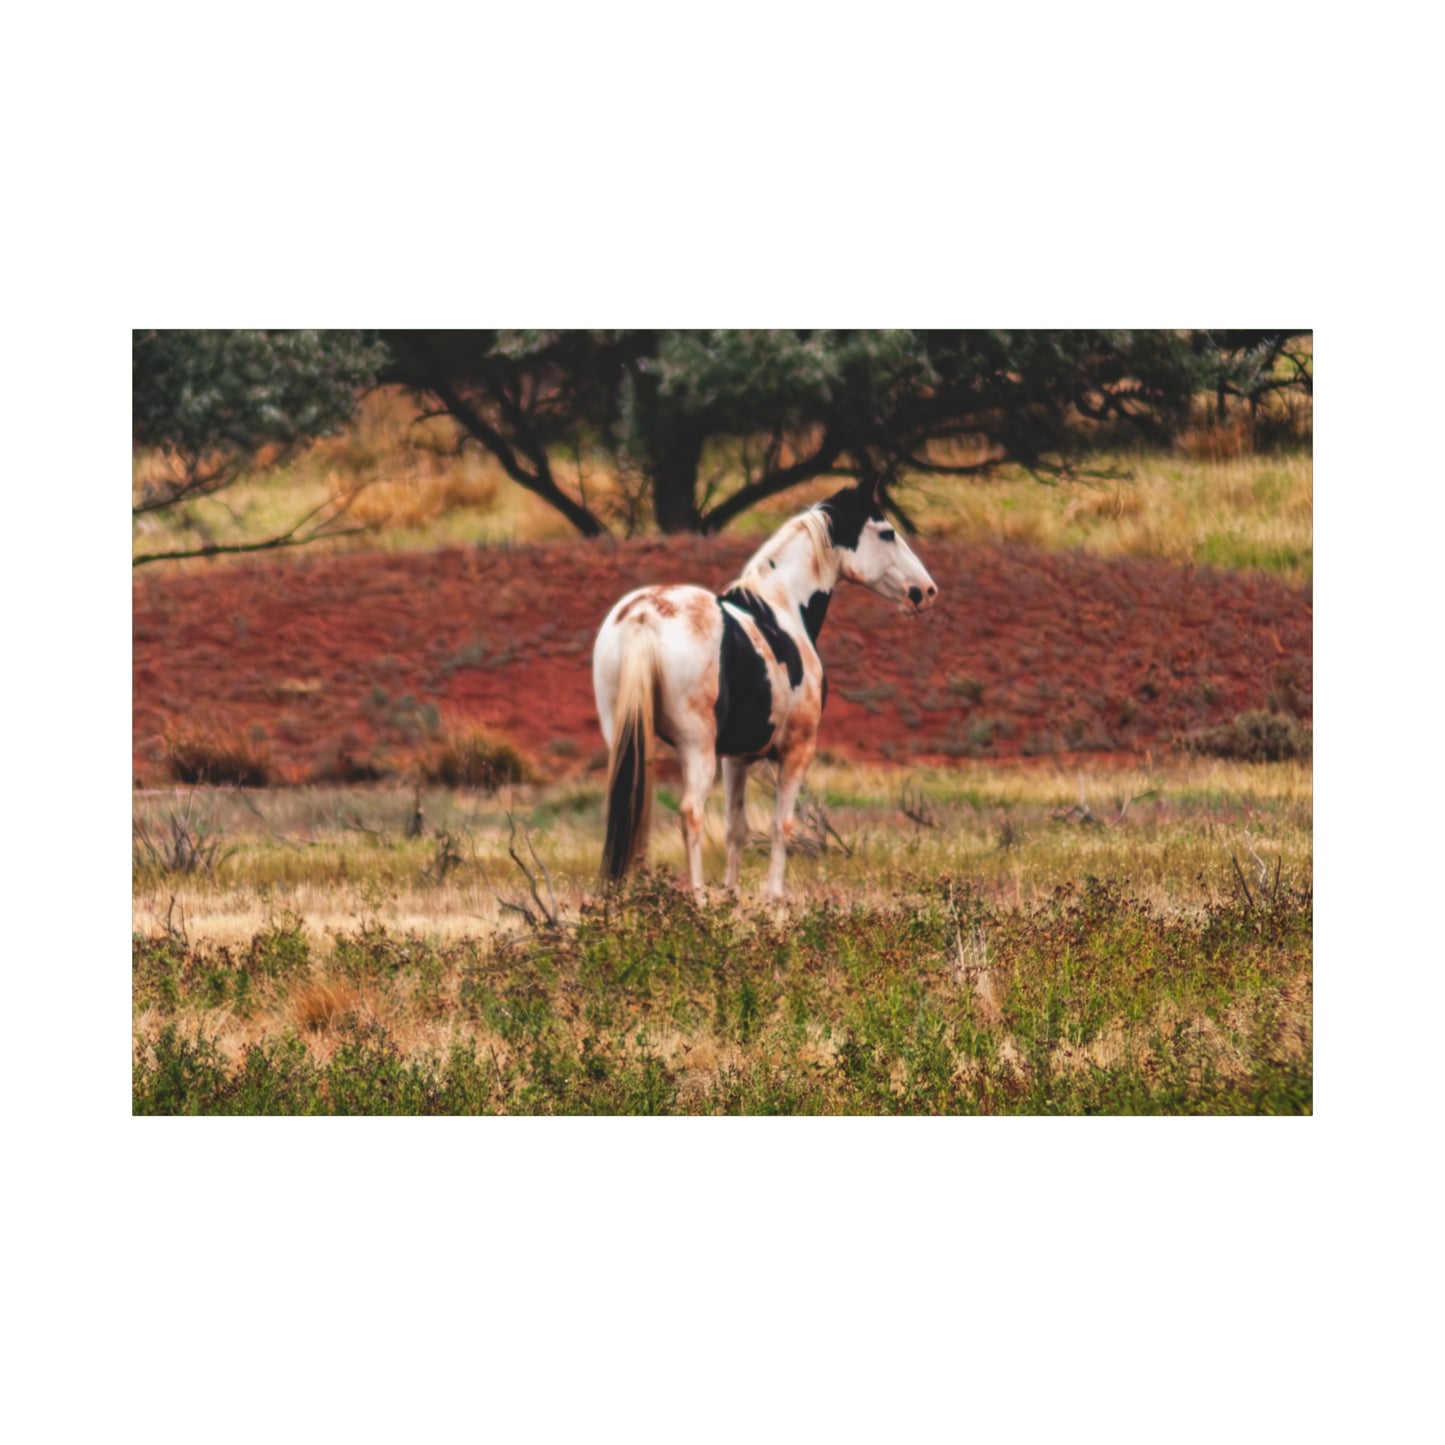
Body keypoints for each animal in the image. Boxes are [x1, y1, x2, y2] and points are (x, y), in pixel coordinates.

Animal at [591, 479, 938, 900]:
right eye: (886, 532)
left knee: (632, 806)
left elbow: (735, 828)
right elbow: (781, 825)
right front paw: (774, 897)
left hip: (628, 736)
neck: (780, 608)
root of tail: (644, 615)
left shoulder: (736, 757)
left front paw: (732, 895)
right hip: (695, 746)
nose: (926, 591)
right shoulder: (796, 751)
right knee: (691, 812)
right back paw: (698, 897)